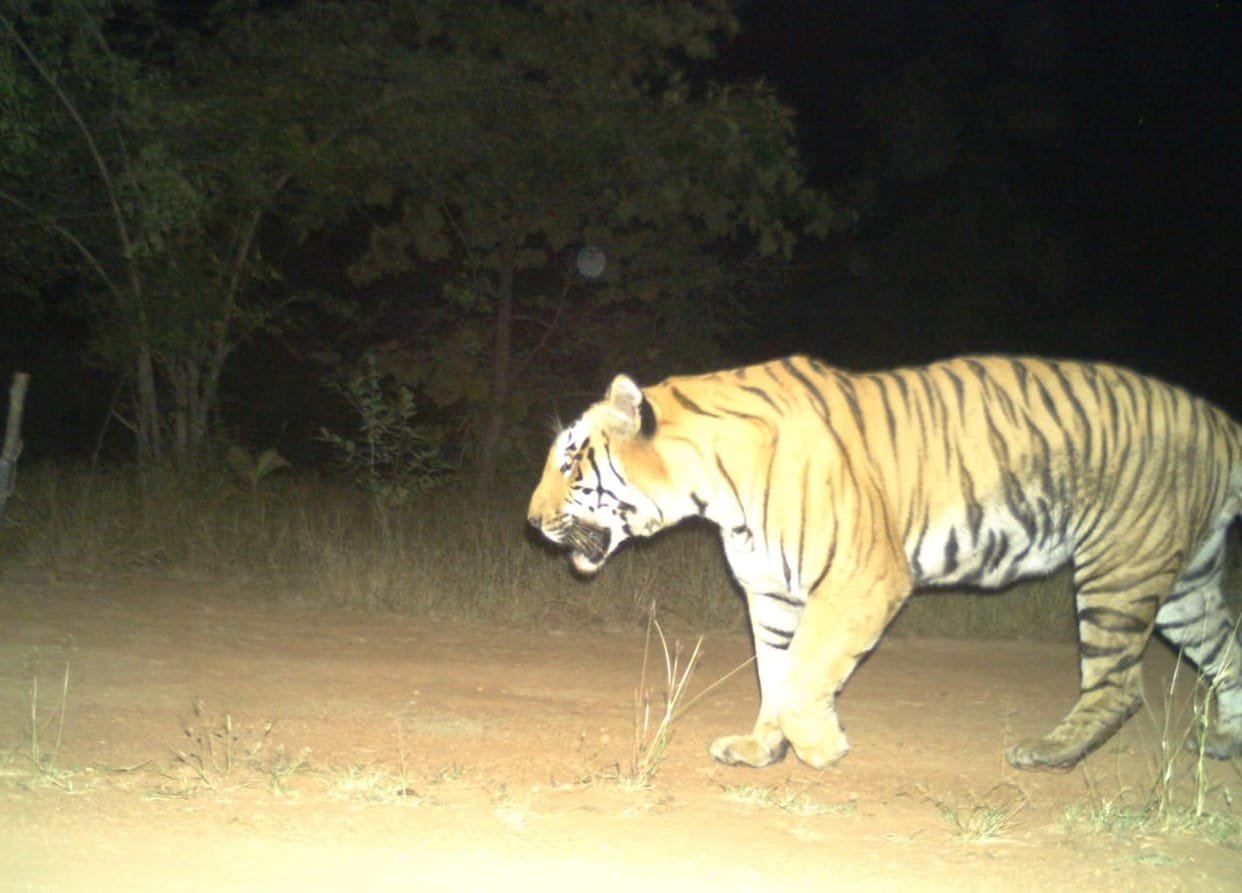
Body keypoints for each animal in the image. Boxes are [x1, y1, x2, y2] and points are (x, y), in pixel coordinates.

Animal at [527, 354, 1242, 771]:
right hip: (1182, 584)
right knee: (1228, 651)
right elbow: (774, 674)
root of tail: (1216, 418)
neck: (711, 492)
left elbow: (801, 678)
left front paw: (820, 749)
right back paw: (1226, 743)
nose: (530, 522)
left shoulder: (860, 579)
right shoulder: (770, 592)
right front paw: (762, 749)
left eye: (569, 466)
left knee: (1120, 686)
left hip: (1119, 570)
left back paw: (1047, 752)